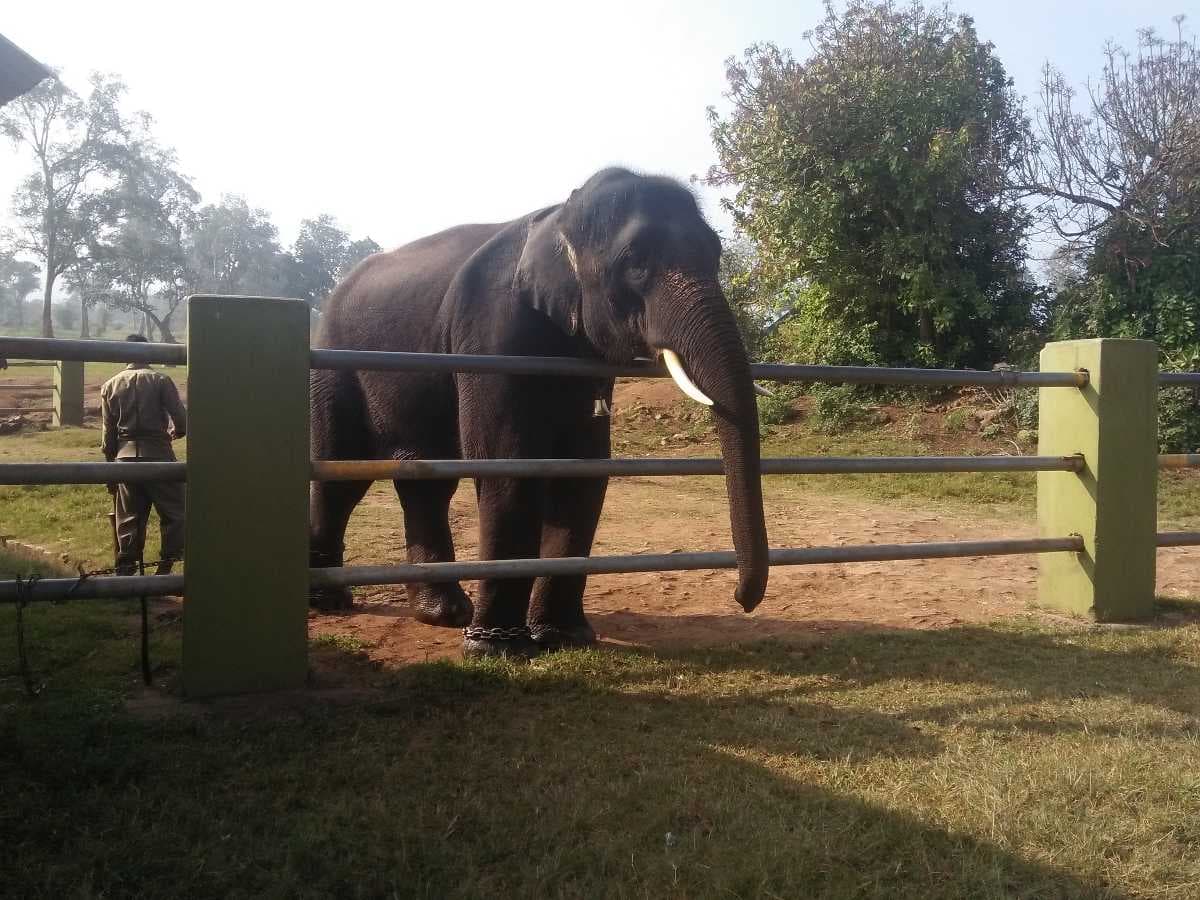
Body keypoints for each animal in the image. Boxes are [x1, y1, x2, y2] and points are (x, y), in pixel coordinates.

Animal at [309, 167, 769, 657]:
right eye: (635, 265)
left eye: (715, 255)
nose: (741, 599)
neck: (559, 216)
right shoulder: (490, 334)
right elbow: (510, 464)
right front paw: (496, 649)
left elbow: (583, 469)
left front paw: (564, 637)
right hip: (334, 365)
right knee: (342, 475)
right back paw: (332, 603)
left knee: (426, 480)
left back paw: (445, 614)